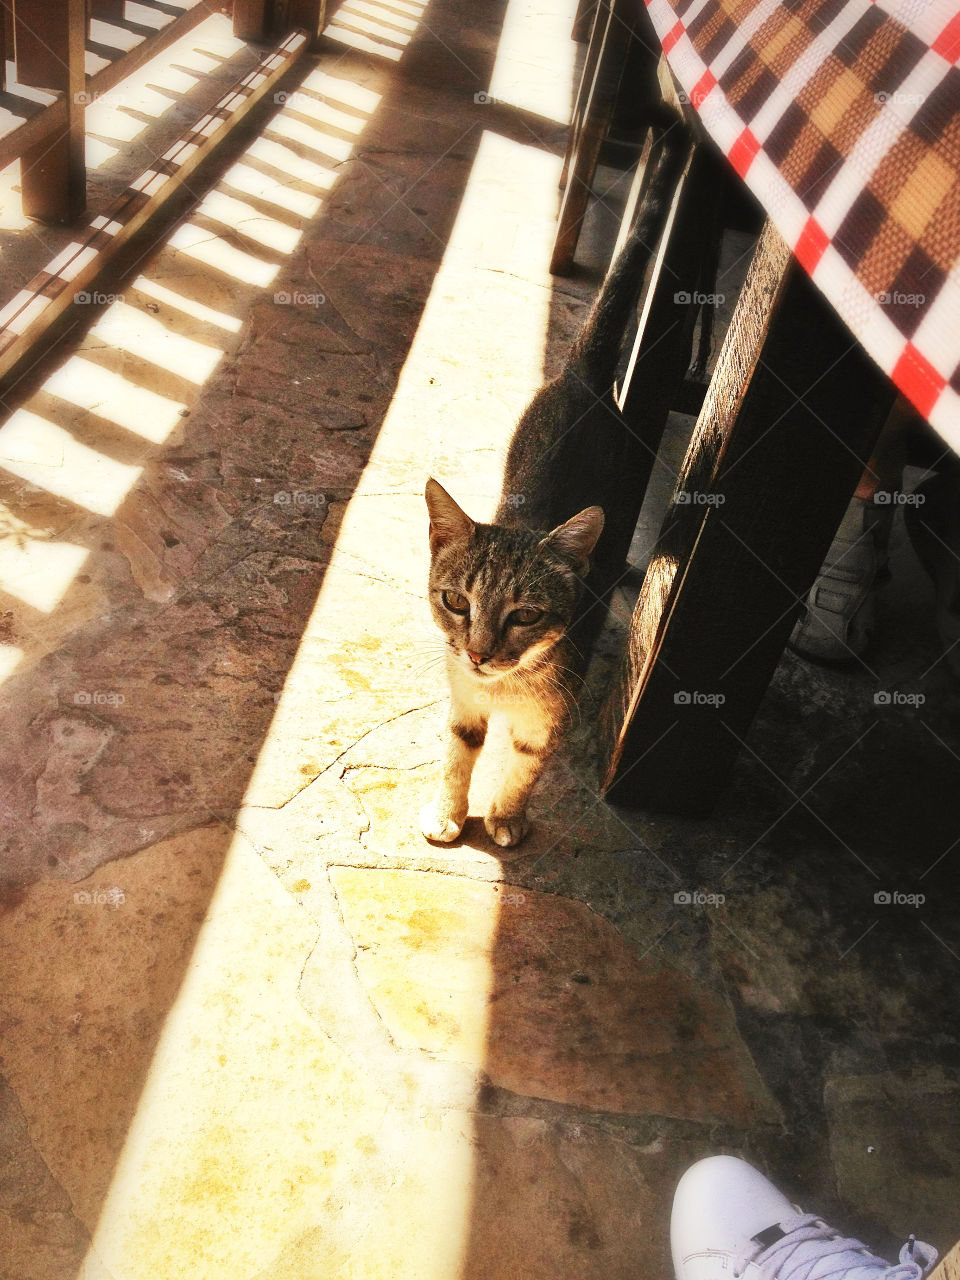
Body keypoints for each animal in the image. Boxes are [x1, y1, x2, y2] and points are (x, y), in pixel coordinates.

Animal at [419, 135, 686, 844]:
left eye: (527, 615)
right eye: (456, 601)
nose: (479, 652)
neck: (504, 690)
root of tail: (584, 377)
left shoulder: (548, 719)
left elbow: (525, 765)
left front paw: (506, 818)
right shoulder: (463, 699)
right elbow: (458, 752)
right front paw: (449, 813)